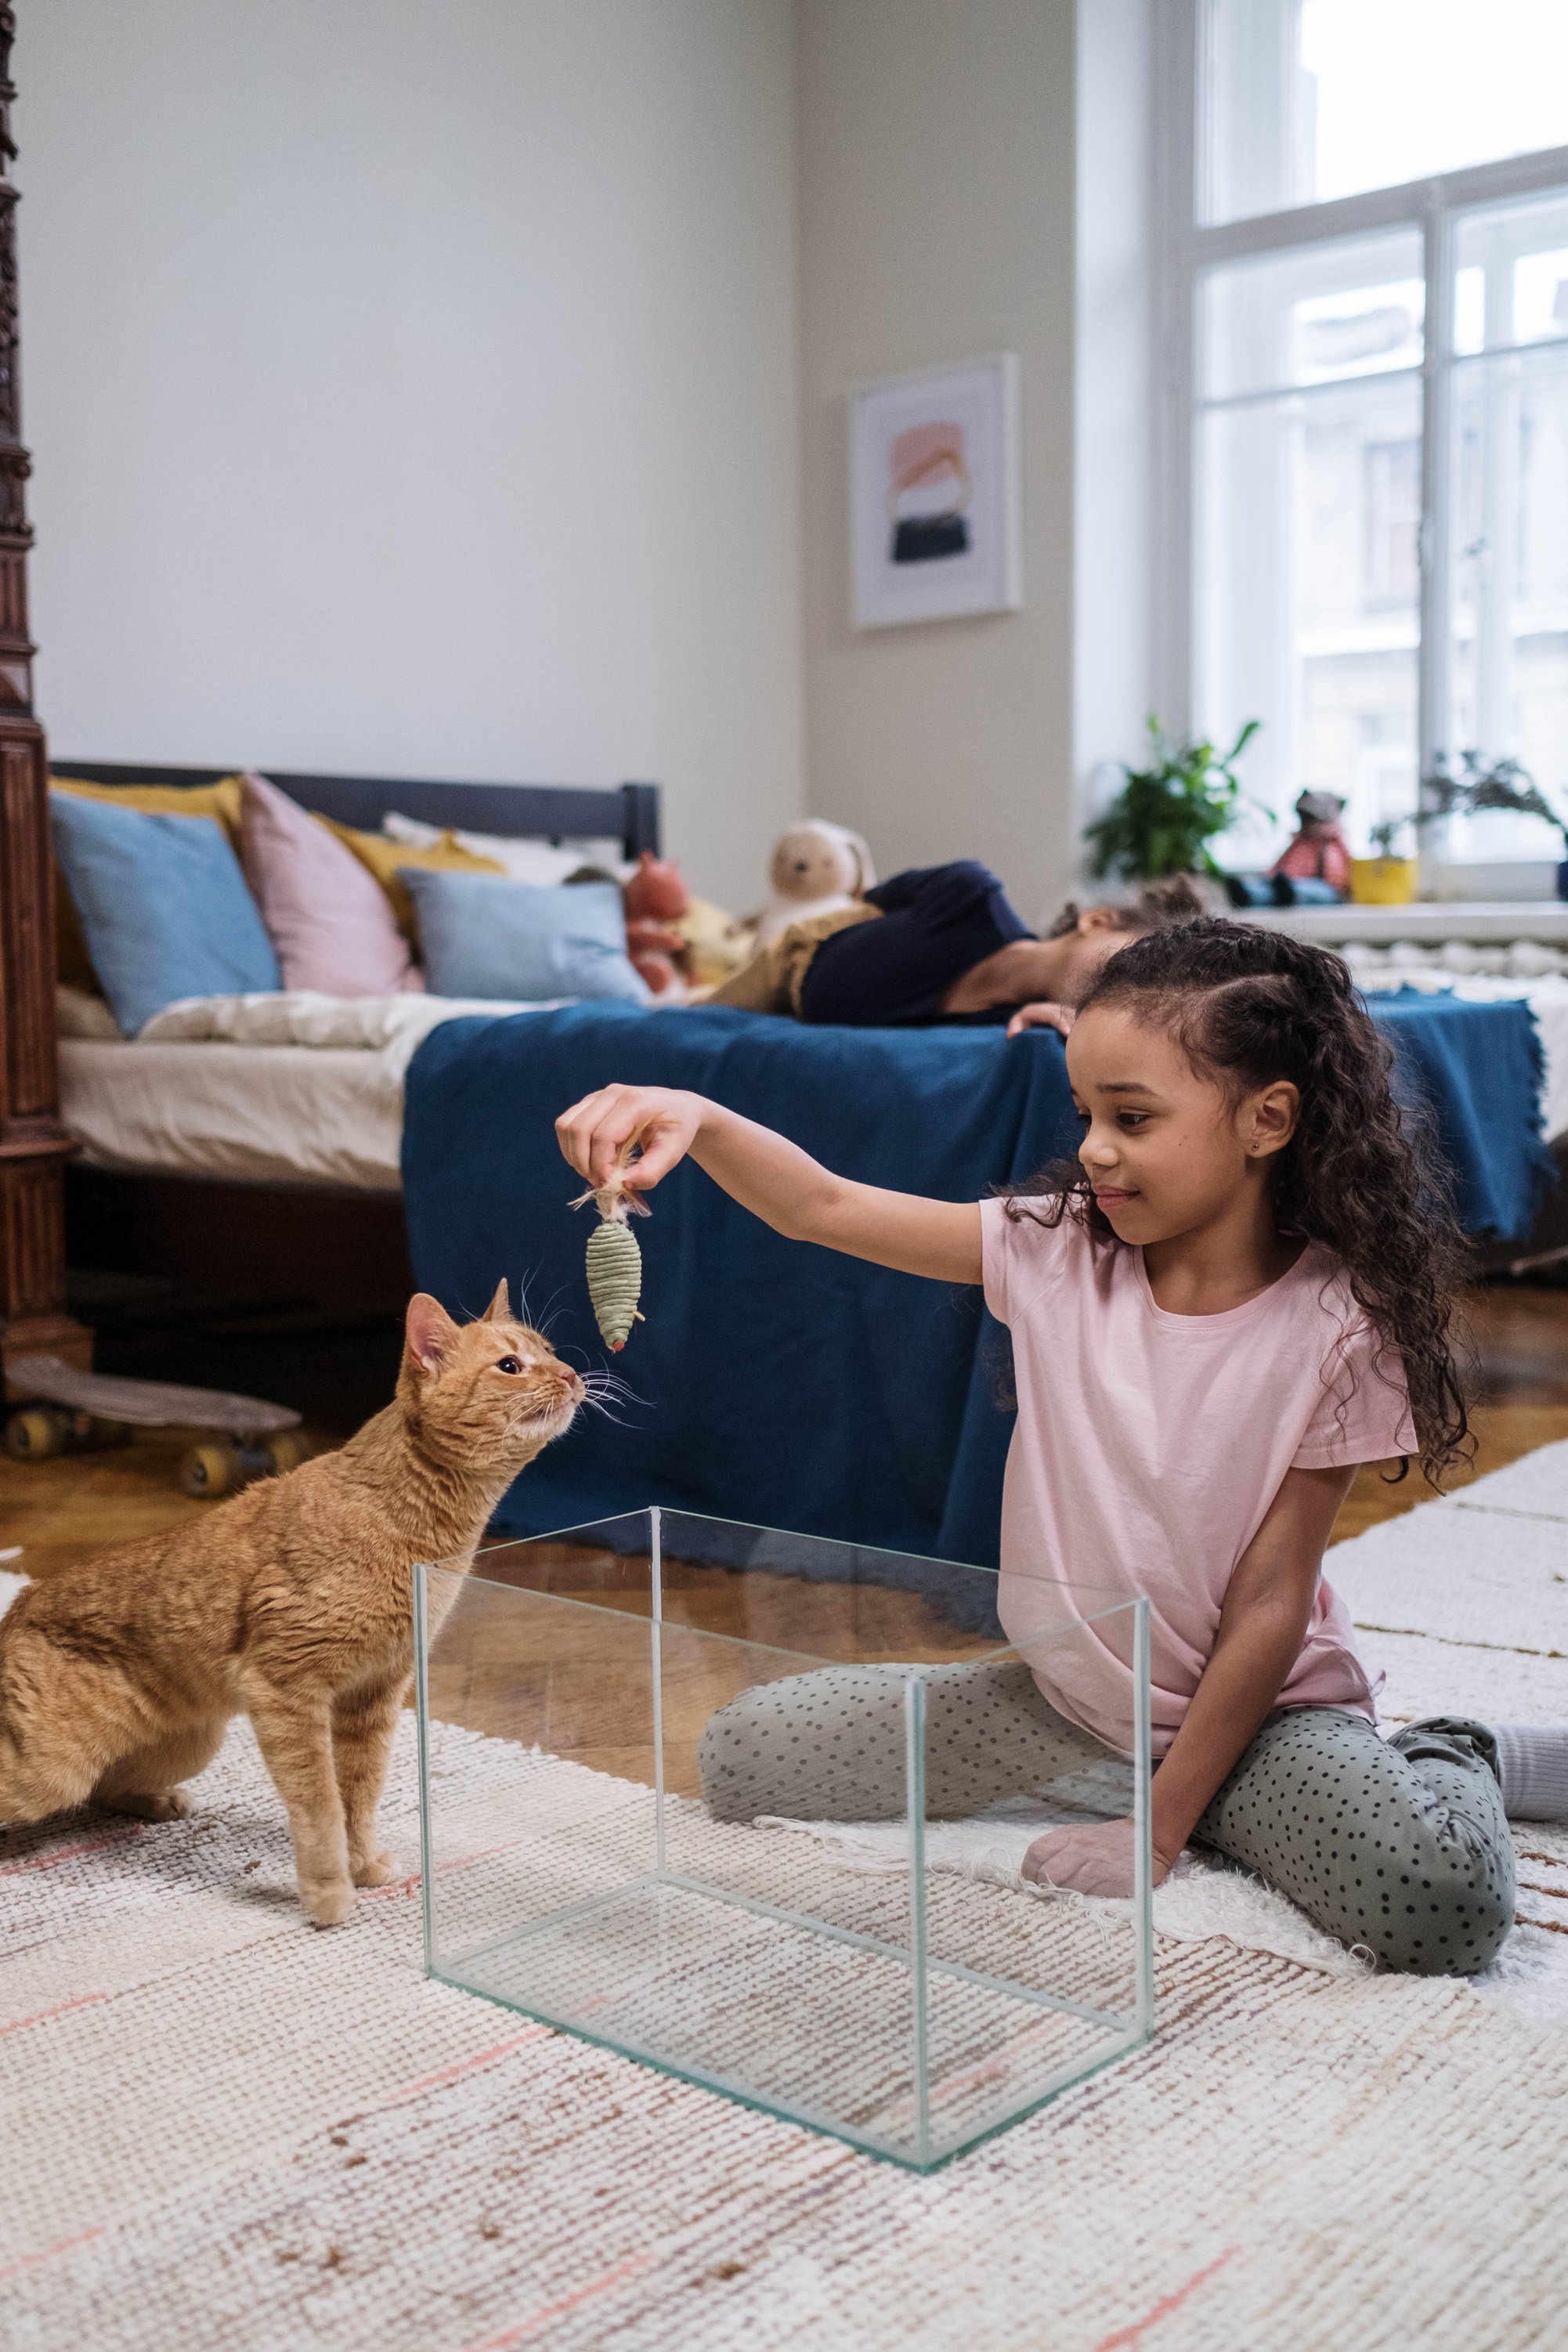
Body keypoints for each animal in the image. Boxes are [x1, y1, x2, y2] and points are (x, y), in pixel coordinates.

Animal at [0, 1288, 583, 1928]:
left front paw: (363, 1864)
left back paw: (160, 1803)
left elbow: (359, 1796)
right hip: (49, 1772)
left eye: (551, 1351)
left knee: (103, 1792)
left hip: (190, 1745)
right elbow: (321, 1805)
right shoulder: (288, 1689)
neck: (415, 1529)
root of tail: (18, 1604)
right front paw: (329, 1892)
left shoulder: (374, 1695)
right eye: (511, 1365)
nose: (571, 1374)